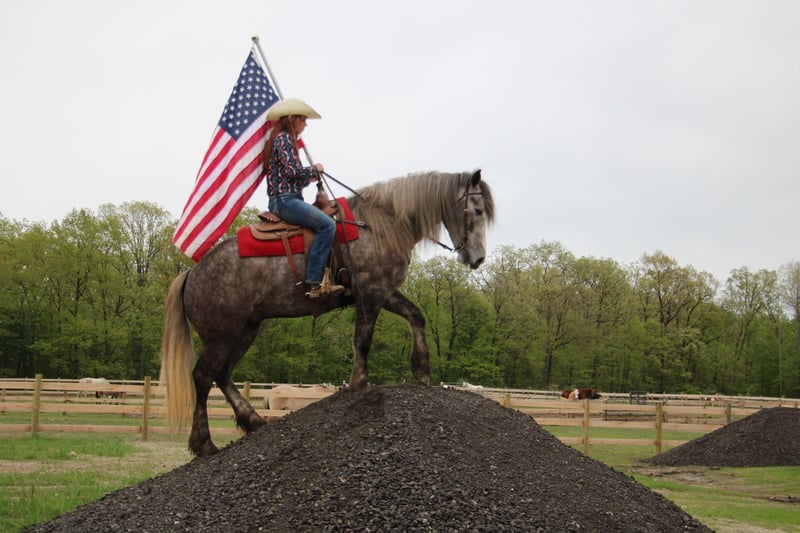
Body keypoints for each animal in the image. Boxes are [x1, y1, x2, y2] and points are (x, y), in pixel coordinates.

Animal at [160, 170, 494, 456]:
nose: (478, 259)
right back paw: (204, 443)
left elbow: (416, 316)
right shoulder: (371, 291)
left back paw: (253, 420)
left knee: (223, 375)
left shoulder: (384, 291)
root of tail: (192, 273)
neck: (380, 226)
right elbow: (363, 340)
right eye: (477, 211)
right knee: (203, 377)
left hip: (246, 329)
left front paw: (422, 369)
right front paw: (359, 383)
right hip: (221, 335)